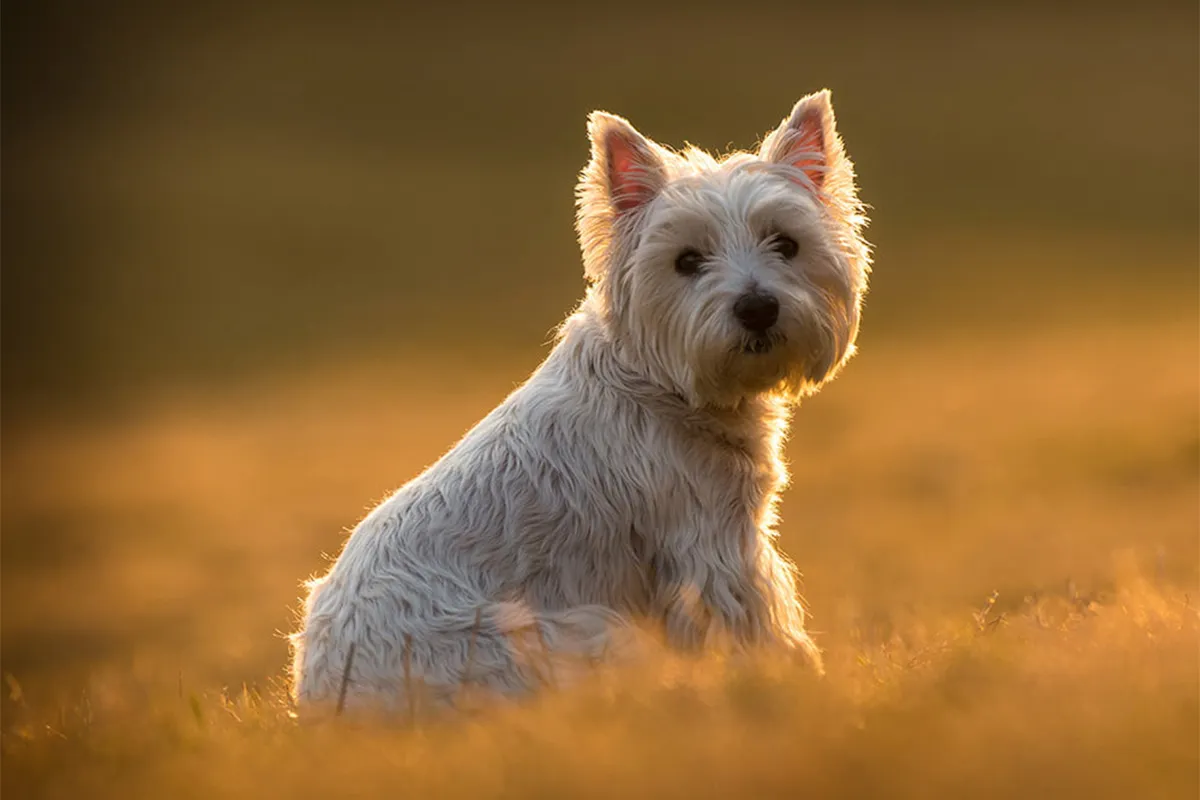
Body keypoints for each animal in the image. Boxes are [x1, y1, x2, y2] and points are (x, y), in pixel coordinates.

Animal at [290, 90, 873, 714]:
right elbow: (760, 625)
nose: (758, 308)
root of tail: (326, 702)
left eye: (786, 244)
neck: (661, 384)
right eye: (687, 260)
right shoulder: (711, 543)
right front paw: (796, 683)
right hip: (569, 636)